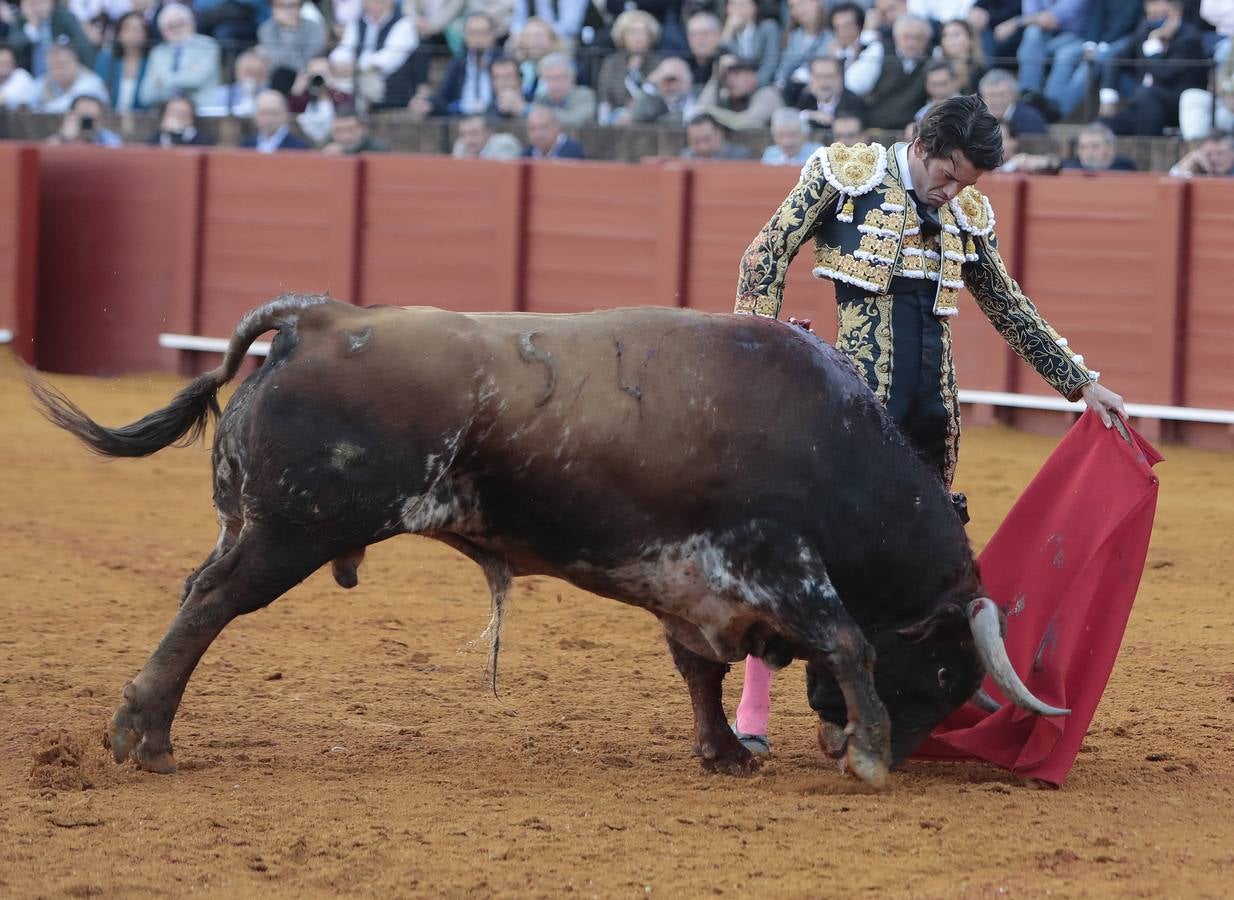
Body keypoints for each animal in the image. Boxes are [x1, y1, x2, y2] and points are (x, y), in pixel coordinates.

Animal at [31, 296, 1071, 785]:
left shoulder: (694, 586)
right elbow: (848, 640)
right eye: (949, 671)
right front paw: (867, 756)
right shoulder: (782, 563)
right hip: (289, 531)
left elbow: (698, 669)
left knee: (193, 593)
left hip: (251, 523)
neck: (836, 447)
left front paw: (726, 755)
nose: (897, 749)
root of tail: (326, 316)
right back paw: (143, 737)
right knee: (209, 607)